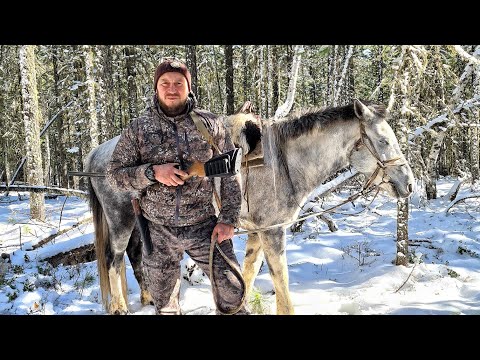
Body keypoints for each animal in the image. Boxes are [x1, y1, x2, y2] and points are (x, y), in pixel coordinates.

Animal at [86, 99, 416, 316]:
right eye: (384, 141)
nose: (410, 184)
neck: (285, 162)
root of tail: (97, 154)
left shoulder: (257, 231)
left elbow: (245, 274)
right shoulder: (273, 231)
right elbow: (281, 283)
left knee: (135, 257)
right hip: (120, 220)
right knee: (114, 261)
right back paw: (119, 307)